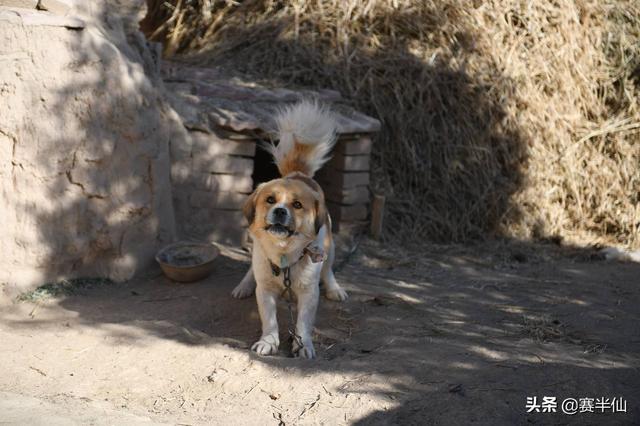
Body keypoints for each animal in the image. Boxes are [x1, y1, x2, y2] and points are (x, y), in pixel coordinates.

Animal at [231, 101, 348, 358]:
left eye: (297, 205)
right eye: (270, 200)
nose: (280, 211)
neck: (284, 256)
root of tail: (299, 174)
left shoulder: (308, 293)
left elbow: (303, 322)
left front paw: (303, 345)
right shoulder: (265, 290)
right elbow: (269, 320)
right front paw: (268, 341)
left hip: (330, 248)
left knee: (328, 270)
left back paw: (335, 289)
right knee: (251, 270)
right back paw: (243, 286)